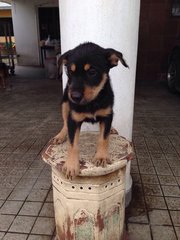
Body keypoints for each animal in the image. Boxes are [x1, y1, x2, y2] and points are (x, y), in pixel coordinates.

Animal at [53, 42, 128, 179]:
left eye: (92, 71)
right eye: (70, 72)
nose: (75, 97)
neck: (91, 102)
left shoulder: (107, 115)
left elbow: (103, 138)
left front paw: (101, 157)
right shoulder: (73, 119)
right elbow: (72, 144)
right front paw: (71, 166)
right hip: (65, 104)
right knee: (65, 123)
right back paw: (60, 136)